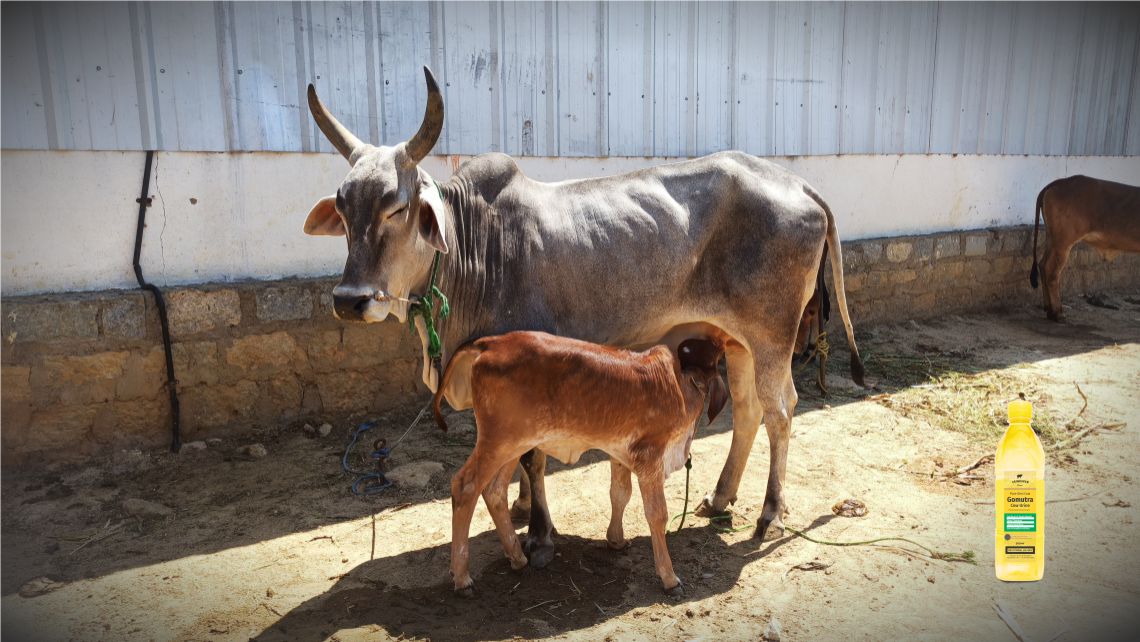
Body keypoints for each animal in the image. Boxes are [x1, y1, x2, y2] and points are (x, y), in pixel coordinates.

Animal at [303, 67, 861, 565]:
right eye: (343, 207)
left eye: (396, 207)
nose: (350, 299)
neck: (477, 247)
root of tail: (797, 184)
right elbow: (522, 459)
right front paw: (523, 508)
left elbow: (533, 457)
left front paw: (539, 534)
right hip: (735, 339)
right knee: (747, 412)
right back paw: (721, 498)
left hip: (772, 337)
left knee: (781, 411)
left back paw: (770, 513)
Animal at [430, 330, 725, 597]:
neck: (678, 382)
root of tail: (490, 343)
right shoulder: (650, 457)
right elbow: (657, 514)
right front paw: (669, 578)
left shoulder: (620, 454)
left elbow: (620, 494)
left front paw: (617, 541)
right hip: (497, 441)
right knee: (465, 487)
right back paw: (463, 579)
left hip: (513, 444)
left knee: (494, 491)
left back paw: (517, 557)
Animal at [1030, 175, 1140, 321]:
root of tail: (1062, 181)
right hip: (1063, 242)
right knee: (1051, 271)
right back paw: (1057, 312)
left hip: (1052, 239)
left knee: (1042, 265)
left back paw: (1048, 308)